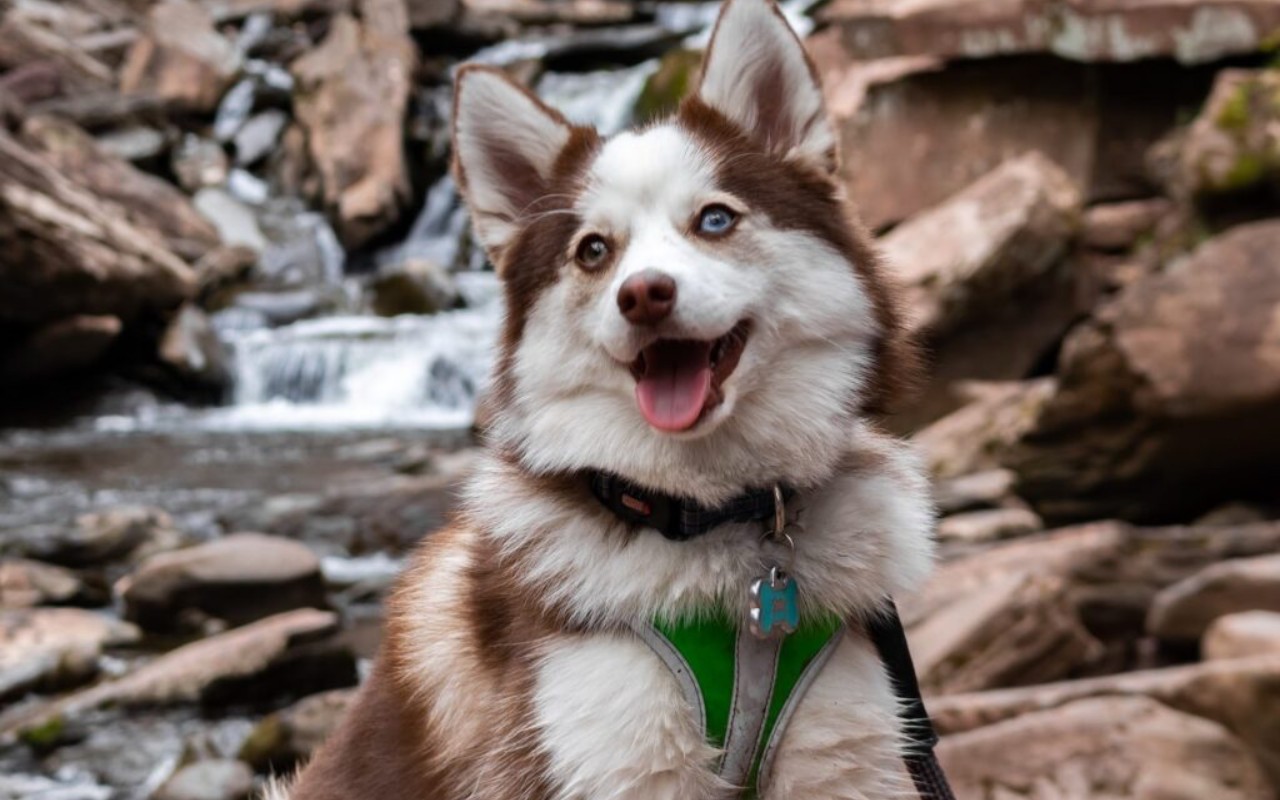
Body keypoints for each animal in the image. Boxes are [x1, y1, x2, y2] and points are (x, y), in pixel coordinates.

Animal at [275, 3, 936, 793]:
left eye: (715, 219)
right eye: (593, 250)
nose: (644, 294)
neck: (717, 521)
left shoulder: (842, 755)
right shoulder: (609, 758)